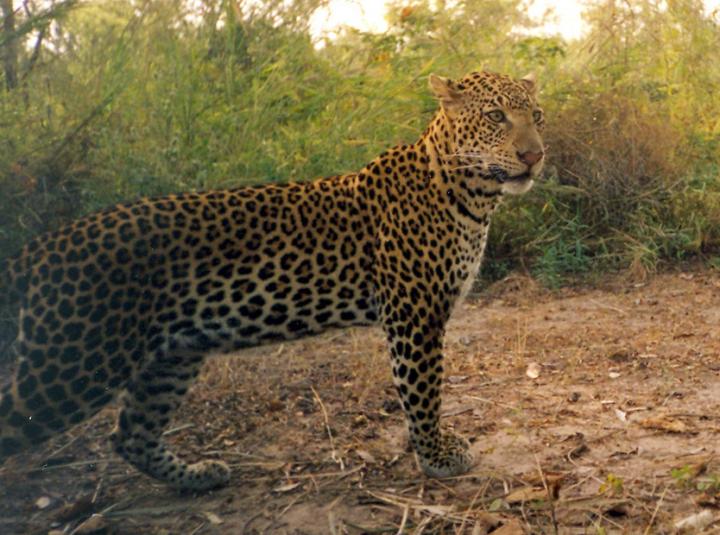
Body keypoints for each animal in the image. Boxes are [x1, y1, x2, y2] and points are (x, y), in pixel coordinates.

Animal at [0, 70, 545, 491]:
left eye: (536, 116)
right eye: (495, 116)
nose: (534, 156)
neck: (471, 196)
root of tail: (38, 249)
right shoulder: (415, 315)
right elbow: (424, 392)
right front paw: (436, 456)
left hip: (172, 355)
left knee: (131, 434)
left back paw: (198, 477)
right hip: (71, 366)